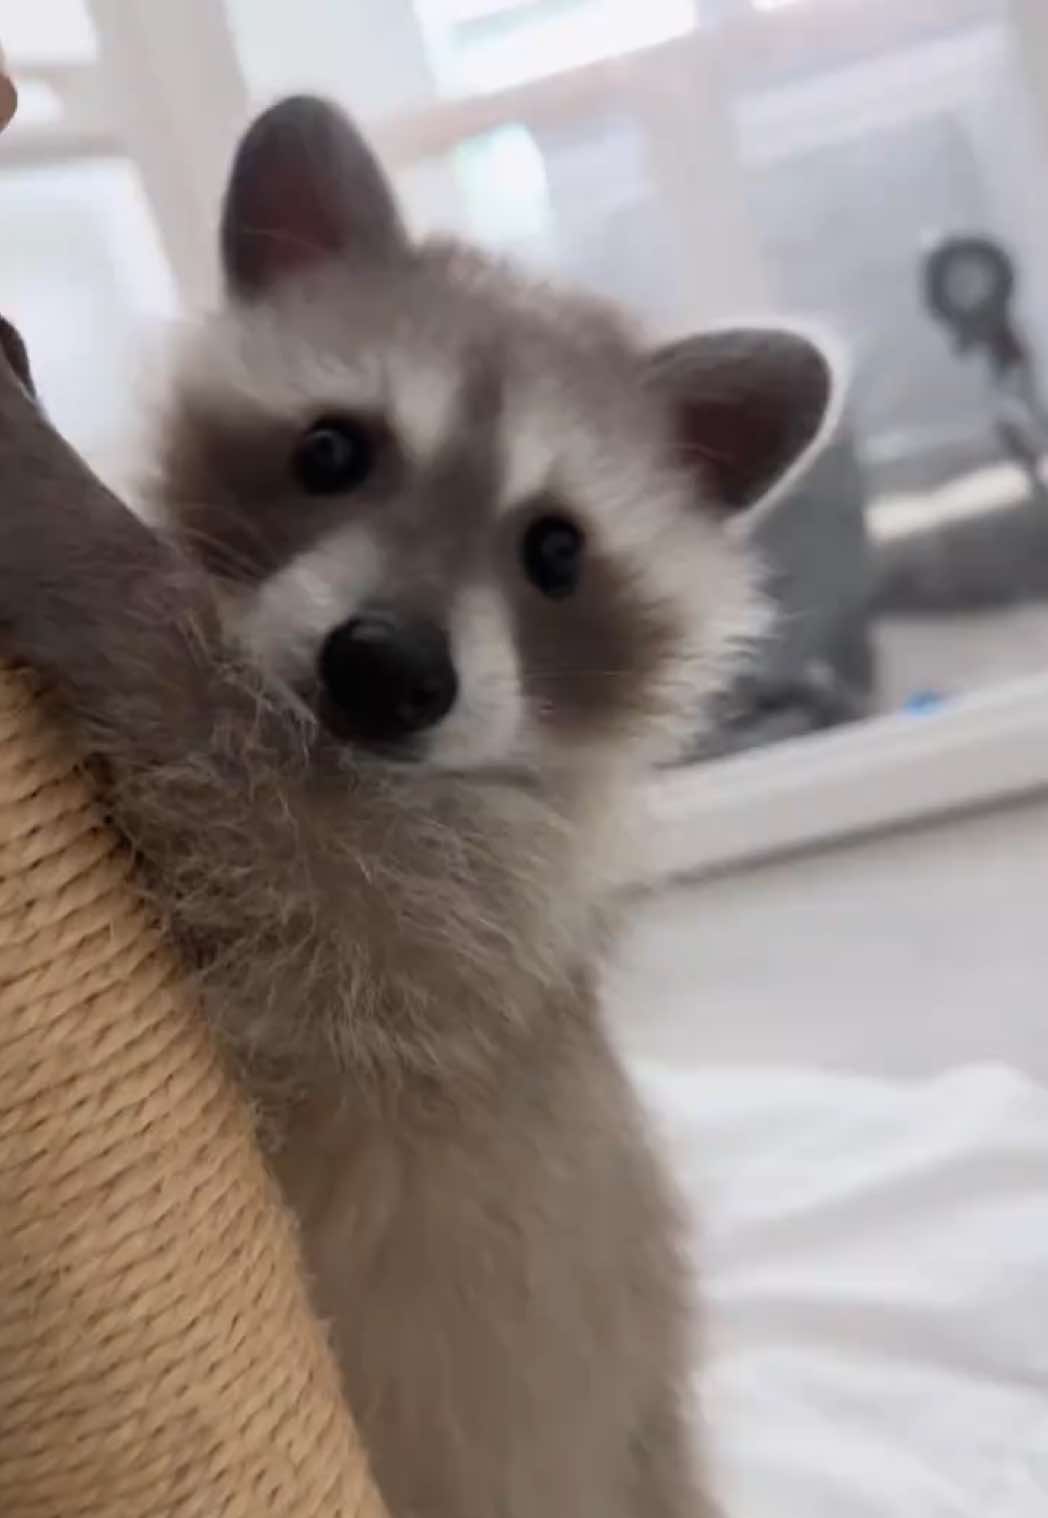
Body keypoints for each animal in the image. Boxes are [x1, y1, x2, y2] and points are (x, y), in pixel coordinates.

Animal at [0, 97, 831, 1518]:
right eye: (331, 449)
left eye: (557, 552)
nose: (387, 671)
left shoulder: (470, 929)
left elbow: (278, 828)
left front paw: (65, 524)